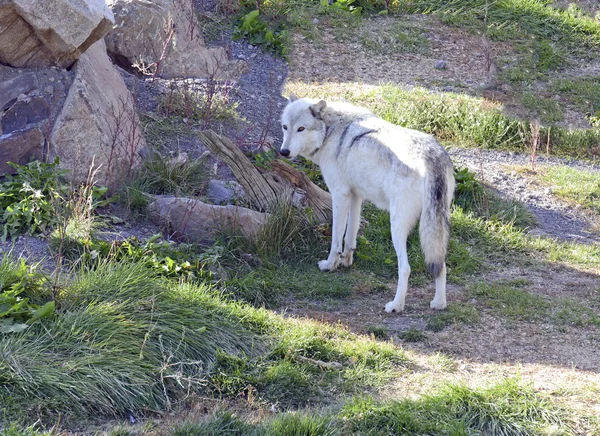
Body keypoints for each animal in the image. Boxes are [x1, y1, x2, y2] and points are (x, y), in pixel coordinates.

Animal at [282, 96, 454, 312]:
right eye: (285, 127)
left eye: (301, 129)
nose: (283, 151)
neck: (331, 131)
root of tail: (431, 156)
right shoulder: (356, 196)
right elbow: (350, 236)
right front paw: (346, 261)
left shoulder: (339, 195)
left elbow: (336, 238)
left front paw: (330, 265)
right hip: (436, 226)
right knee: (441, 264)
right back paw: (439, 303)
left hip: (396, 226)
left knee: (405, 268)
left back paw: (396, 305)